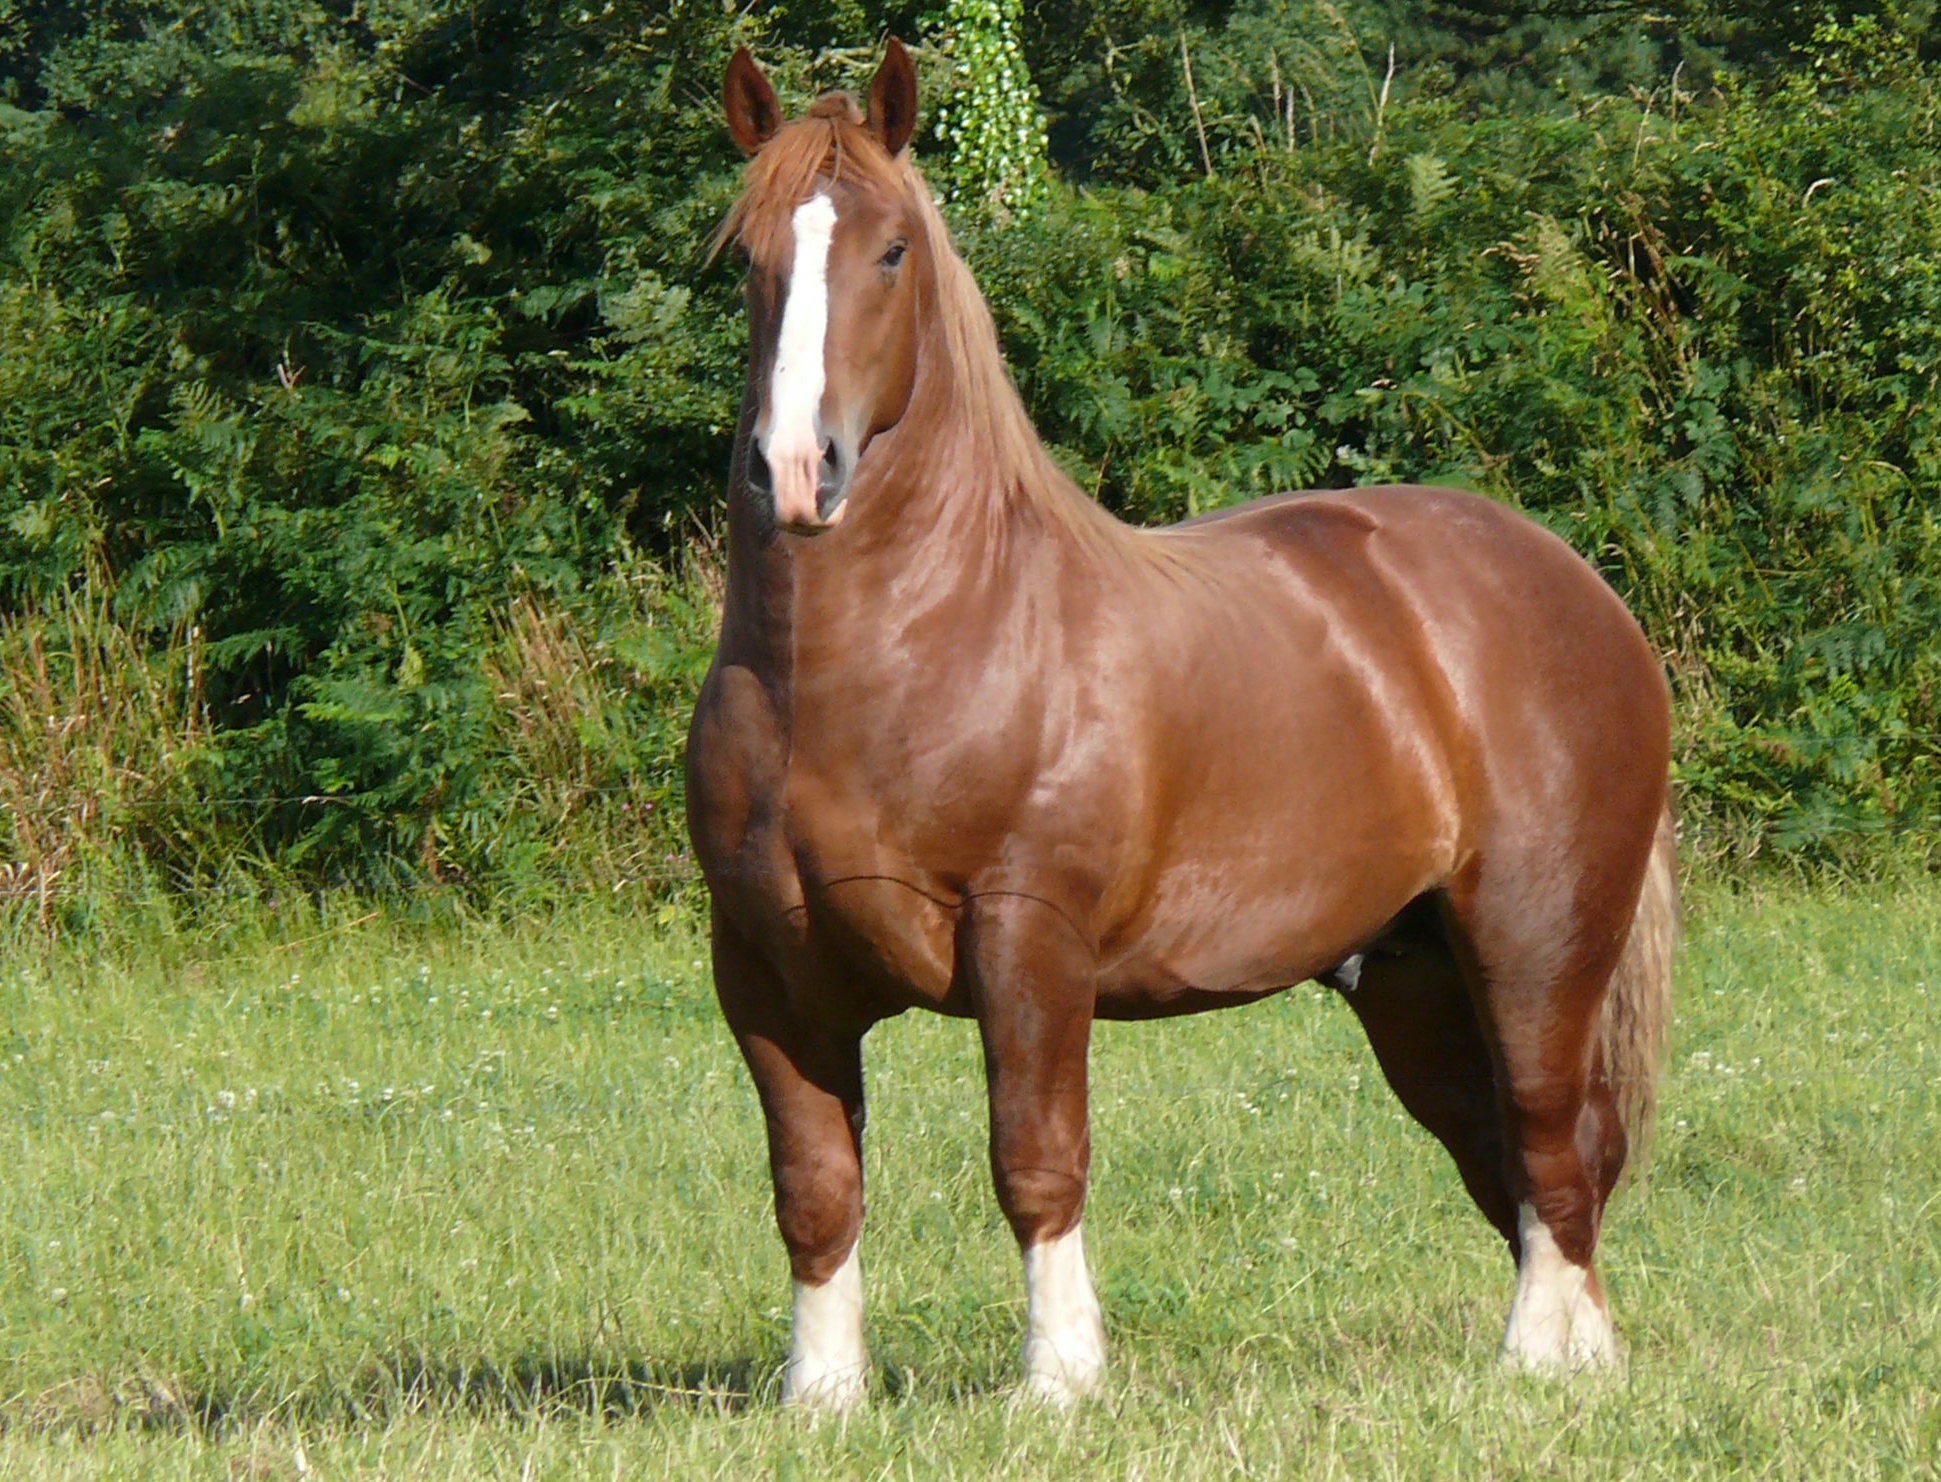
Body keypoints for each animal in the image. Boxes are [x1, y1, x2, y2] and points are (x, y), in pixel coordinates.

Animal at [690, 37, 1677, 1412]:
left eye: (890, 251)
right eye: (749, 255)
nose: (797, 470)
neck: (884, 665)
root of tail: (1580, 590)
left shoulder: (1029, 942)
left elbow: (1035, 1156)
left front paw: (1060, 1382)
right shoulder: (765, 972)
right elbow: (815, 1187)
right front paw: (821, 1399)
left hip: (1535, 943)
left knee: (1546, 1132)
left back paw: (1533, 1360)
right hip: (1413, 983)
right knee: (1528, 1157)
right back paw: (1581, 1360)